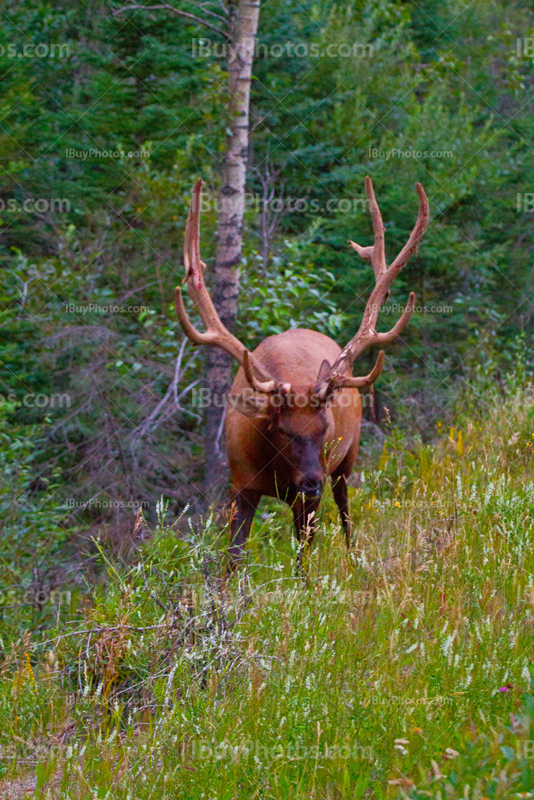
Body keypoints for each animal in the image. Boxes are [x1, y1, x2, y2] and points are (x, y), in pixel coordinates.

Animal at [176, 180, 432, 568]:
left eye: (324, 426)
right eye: (282, 429)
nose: (311, 481)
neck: (275, 470)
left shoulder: (309, 496)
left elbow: (303, 561)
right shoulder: (240, 484)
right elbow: (233, 558)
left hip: (345, 461)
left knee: (345, 511)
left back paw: (352, 558)